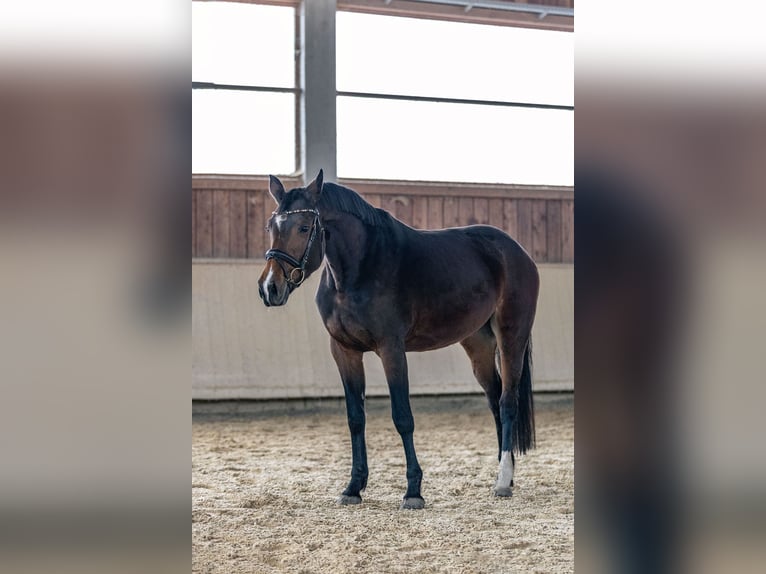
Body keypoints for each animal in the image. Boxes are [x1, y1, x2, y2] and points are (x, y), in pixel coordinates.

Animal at [258, 171, 540, 512]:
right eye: (271, 227)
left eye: (302, 227)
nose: (270, 288)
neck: (359, 270)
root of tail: (516, 252)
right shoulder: (344, 351)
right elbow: (356, 418)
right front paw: (353, 487)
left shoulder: (391, 349)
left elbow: (402, 417)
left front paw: (413, 491)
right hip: (479, 346)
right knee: (495, 399)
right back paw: (505, 474)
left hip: (512, 336)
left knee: (508, 401)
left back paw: (502, 481)